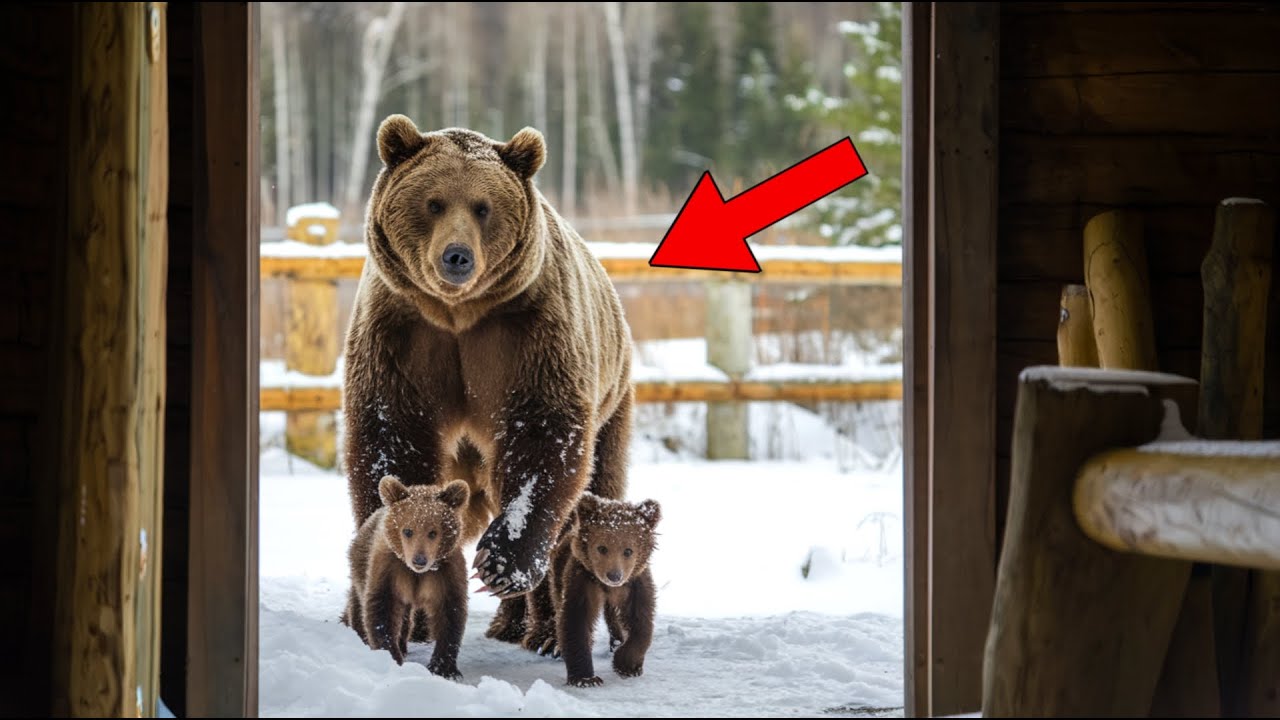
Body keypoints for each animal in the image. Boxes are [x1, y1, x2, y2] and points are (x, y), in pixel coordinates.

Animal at [342, 114, 634, 644]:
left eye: (483, 207)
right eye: (433, 202)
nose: (456, 256)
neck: (457, 313)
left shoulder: (527, 333)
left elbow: (543, 439)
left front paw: (500, 562)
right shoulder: (403, 336)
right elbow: (392, 437)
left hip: (611, 403)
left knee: (589, 499)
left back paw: (542, 630)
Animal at [342, 475, 470, 679]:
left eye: (433, 532)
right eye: (408, 530)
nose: (419, 560)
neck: (417, 574)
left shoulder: (445, 574)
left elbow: (450, 615)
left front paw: (444, 668)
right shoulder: (389, 570)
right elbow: (382, 611)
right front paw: (391, 657)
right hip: (360, 568)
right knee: (359, 606)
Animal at [523, 492, 660, 688]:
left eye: (628, 550)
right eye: (602, 548)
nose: (614, 575)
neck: (607, 587)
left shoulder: (634, 585)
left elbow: (641, 623)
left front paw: (626, 665)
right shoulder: (583, 582)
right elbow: (576, 621)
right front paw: (586, 678)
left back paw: (616, 642)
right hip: (556, 577)